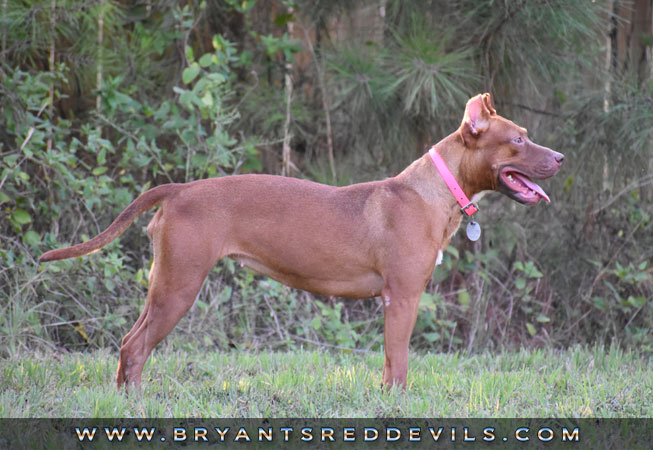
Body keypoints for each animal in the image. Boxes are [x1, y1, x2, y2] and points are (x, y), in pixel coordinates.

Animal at [39, 93, 560, 388]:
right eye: (518, 139)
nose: (560, 157)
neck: (435, 190)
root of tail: (180, 189)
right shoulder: (403, 297)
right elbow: (400, 365)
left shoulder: (394, 301)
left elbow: (388, 365)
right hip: (179, 287)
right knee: (135, 348)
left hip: (164, 285)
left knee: (129, 345)